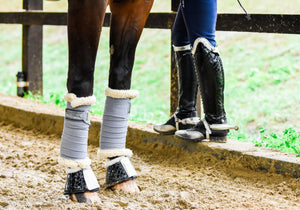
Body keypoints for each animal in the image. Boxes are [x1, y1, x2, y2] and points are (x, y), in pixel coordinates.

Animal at [57, 0, 154, 203]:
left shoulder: (136, 5)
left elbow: (121, 73)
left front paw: (119, 169)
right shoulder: (87, 4)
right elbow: (82, 77)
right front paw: (80, 180)